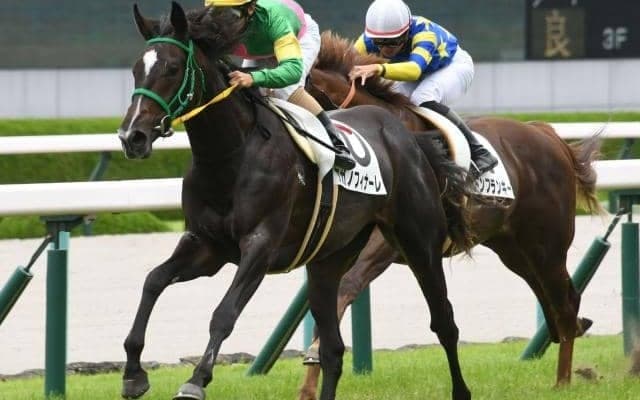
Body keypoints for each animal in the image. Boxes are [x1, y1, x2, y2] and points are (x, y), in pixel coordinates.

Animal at [117, 3, 479, 400]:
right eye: (136, 70)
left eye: (171, 68)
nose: (132, 136)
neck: (231, 155)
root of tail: (407, 135)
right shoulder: (205, 245)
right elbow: (153, 281)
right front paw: (133, 373)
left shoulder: (260, 245)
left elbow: (224, 313)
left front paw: (196, 380)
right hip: (329, 259)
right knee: (332, 348)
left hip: (418, 242)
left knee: (444, 322)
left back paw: (461, 388)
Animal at [297, 31, 604, 400]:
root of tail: (547, 135)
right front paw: (309, 381)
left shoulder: (383, 246)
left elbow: (345, 288)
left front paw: (315, 359)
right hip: (515, 250)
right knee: (558, 301)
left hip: (548, 245)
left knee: (565, 304)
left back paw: (563, 381)